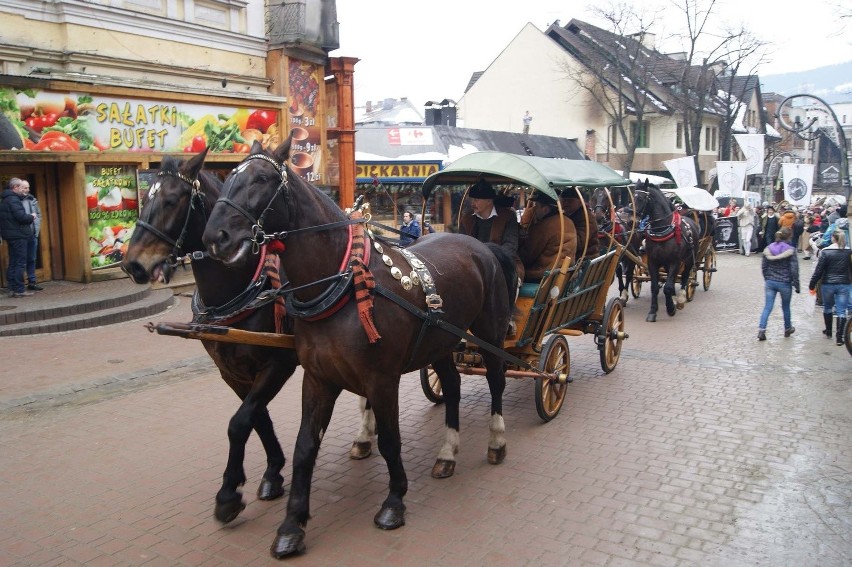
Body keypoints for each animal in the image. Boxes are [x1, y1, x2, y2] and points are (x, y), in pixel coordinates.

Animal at [121, 151, 374, 528]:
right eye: (145, 198)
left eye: (171, 200)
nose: (133, 264)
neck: (242, 287)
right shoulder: (231, 371)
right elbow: (257, 417)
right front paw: (273, 473)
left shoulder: (278, 363)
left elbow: (240, 422)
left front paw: (228, 494)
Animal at [203, 136, 516, 560]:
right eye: (229, 177)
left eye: (263, 179)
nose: (215, 237)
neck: (341, 287)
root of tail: (481, 246)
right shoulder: (318, 379)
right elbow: (304, 447)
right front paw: (292, 524)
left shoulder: (381, 380)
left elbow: (389, 440)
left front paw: (394, 502)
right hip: (440, 342)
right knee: (451, 387)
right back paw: (447, 454)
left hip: (490, 333)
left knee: (497, 380)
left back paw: (496, 441)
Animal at [632, 180, 700, 322]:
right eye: (633, 197)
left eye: (640, 198)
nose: (633, 218)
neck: (662, 230)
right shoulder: (653, 262)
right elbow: (655, 287)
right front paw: (653, 311)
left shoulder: (675, 261)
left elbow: (668, 287)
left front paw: (671, 309)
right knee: (672, 280)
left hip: (689, 260)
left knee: (685, 277)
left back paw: (680, 299)